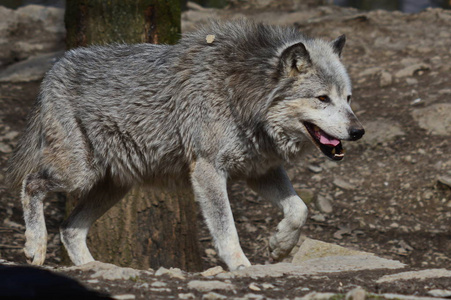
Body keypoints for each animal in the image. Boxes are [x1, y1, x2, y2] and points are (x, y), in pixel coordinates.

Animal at [7, 19, 366, 270]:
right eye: (322, 99)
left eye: (348, 99)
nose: (358, 131)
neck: (238, 94)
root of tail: (55, 66)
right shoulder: (208, 170)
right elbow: (227, 229)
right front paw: (241, 266)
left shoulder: (259, 171)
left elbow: (299, 209)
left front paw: (280, 246)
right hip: (79, 175)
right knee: (30, 184)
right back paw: (35, 247)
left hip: (112, 186)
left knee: (70, 229)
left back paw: (94, 268)